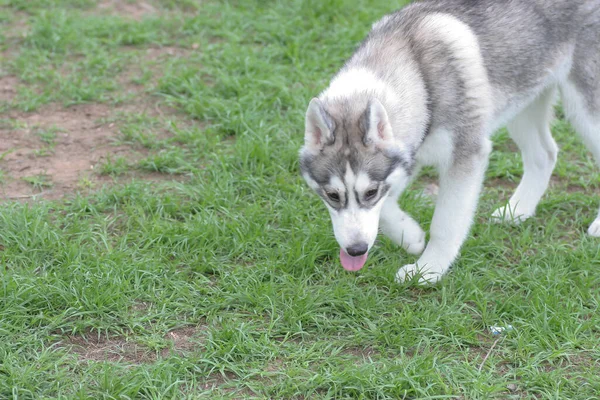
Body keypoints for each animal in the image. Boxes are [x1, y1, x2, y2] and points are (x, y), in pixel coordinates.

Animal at [298, 0, 600, 284]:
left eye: (370, 192)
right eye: (332, 195)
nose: (356, 250)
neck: (418, 76)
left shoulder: (466, 155)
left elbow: (445, 223)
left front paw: (427, 270)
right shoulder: (410, 154)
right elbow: (387, 207)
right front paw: (410, 236)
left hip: (585, 112)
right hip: (525, 100)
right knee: (545, 154)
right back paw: (518, 210)